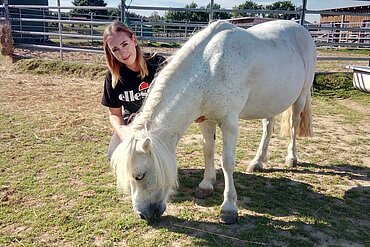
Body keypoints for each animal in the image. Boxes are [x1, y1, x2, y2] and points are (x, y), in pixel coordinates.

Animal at [111, 19, 316, 224]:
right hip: (269, 102)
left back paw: (291, 158)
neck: (210, 67)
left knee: (294, 125)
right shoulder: (206, 120)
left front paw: (228, 208)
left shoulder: (229, 123)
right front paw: (206, 185)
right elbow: (208, 151)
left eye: (140, 176)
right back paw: (258, 162)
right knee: (268, 128)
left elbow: (227, 162)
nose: (143, 214)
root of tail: (300, 28)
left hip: (300, 98)